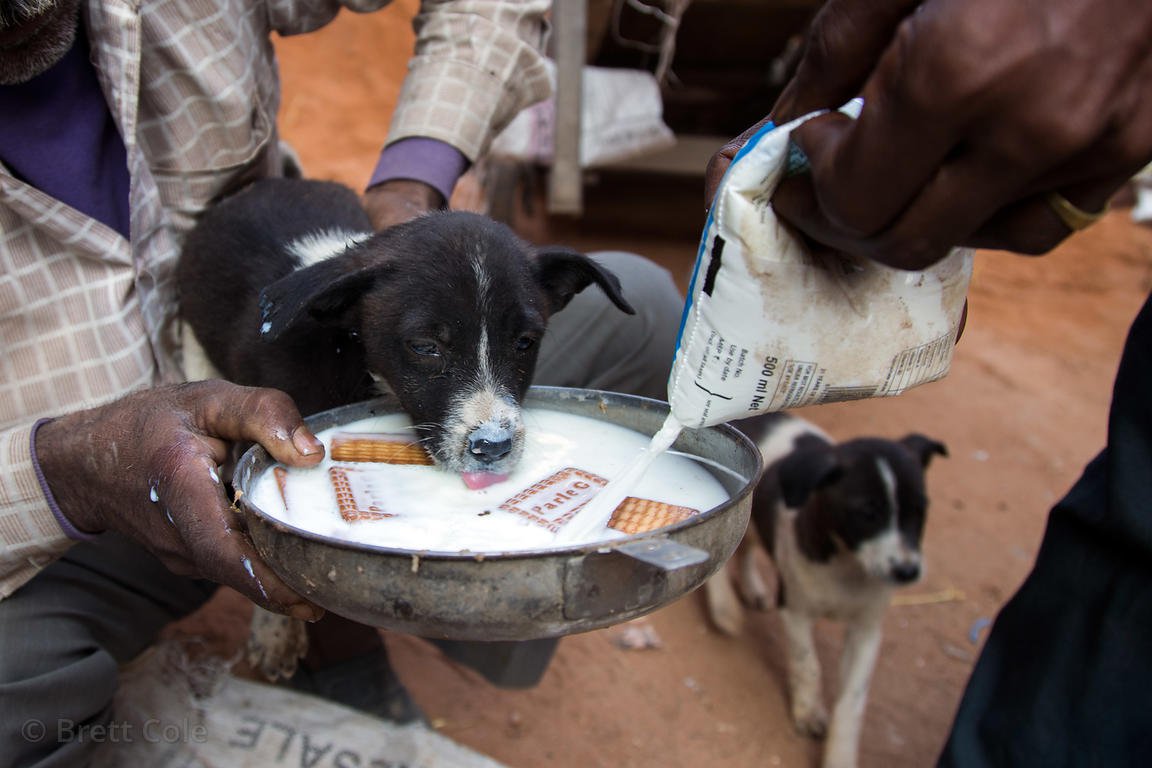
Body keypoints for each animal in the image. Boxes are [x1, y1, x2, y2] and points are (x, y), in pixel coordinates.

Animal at [705, 414, 949, 768]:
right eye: (866, 513)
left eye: (919, 510)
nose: (906, 571)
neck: (847, 566)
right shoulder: (795, 611)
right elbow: (809, 665)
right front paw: (808, 711)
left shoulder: (867, 630)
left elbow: (852, 701)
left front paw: (840, 756)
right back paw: (724, 607)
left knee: (746, 545)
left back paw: (752, 588)